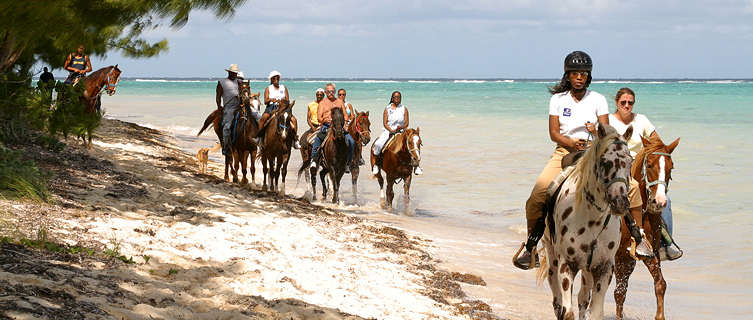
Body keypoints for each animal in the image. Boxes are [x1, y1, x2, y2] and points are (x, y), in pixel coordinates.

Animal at [540, 124, 636, 318]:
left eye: (630, 162)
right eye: (605, 162)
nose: (620, 203)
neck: (593, 218)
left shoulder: (604, 268)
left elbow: (596, 312)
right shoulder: (567, 265)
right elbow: (566, 312)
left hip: (588, 271)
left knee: (583, 298)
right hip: (553, 259)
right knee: (557, 301)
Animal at [612, 134, 680, 320]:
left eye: (671, 167)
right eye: (649, 165)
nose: (659, 202)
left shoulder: (649, 253)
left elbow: (660, 284)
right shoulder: (619, 256)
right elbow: (619, 292)